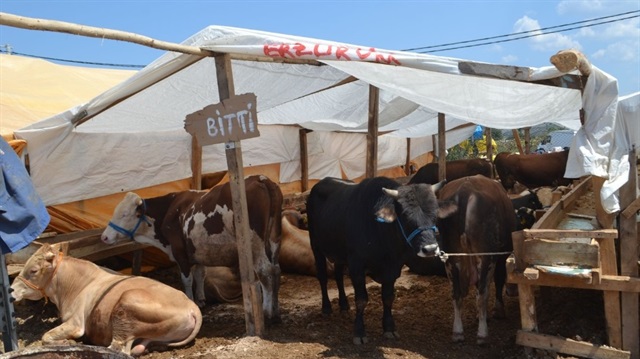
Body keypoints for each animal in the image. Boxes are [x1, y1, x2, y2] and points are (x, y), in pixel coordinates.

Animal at [11, 242, 201, 358]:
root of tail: (192, 307)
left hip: (126, 306)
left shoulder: (76, 323)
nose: (11, 291)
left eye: (33, 271)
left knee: (118, 349)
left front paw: (67, 342)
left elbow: (46, 336)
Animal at [102, 174, 282, 324]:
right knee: (276, 270)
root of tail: (260, 178)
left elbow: (187, 279)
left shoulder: (180, 252)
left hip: (254, 244)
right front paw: (201, 300)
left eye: (124, 214)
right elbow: (200, 274)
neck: (169, 211)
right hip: (273, 240)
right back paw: (275, 310)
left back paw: (267, 313)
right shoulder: (198, 250)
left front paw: (190, 300)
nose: (104, 237)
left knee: (265, 271)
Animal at [436, 176, 516, 344]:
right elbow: (498, 280)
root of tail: (464, 191)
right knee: (483, 293)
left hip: (451, 257)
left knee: (456, 294)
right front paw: (498, 310)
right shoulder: (500, 256)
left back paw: (458, 332)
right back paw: (482, 334)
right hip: (486, 256)